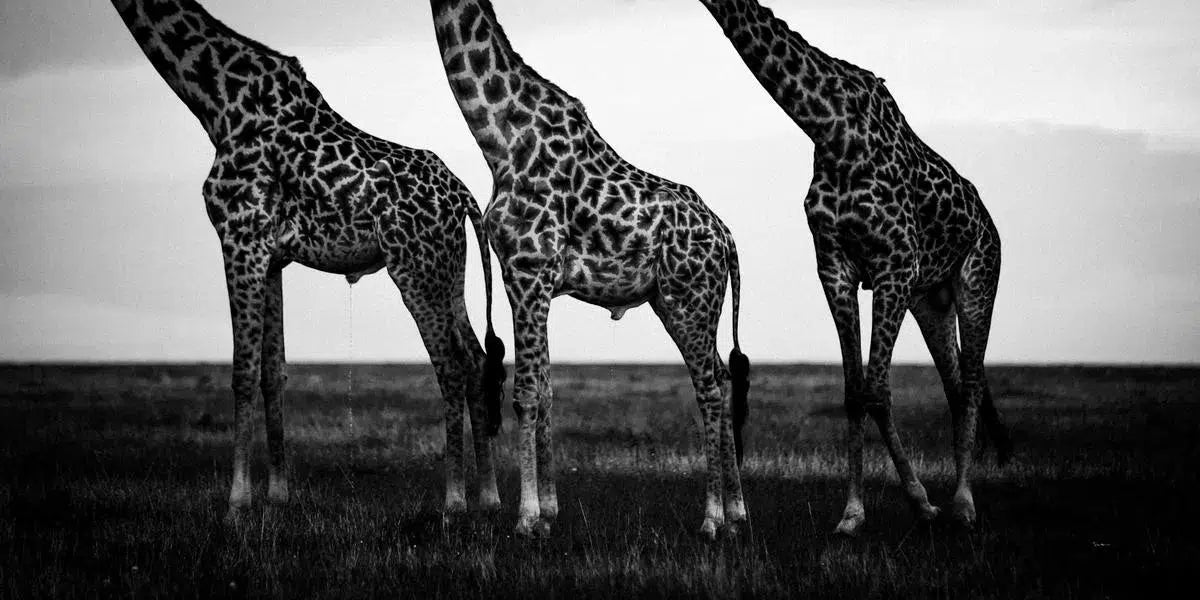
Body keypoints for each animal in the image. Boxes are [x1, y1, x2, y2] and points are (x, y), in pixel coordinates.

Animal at [109, 0, 508, 523]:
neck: (215, 100)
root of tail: (463, 195)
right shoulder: (273, 257)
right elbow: (273, 372)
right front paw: (277, 495)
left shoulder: (239, 236)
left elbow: (242, 372)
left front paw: (235, 503)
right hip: (448, 269)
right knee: (477, 357)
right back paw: (490, 497)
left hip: (415, 269)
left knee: (453, 365)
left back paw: (454, 502)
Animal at [430, 0, 752, 539]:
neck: (499, 137)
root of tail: (727, 240)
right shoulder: (528, 278)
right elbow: (546, 388)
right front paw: (549, 514)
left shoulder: (528, 267)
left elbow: (526, 392)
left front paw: (525, 519)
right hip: (685, 301)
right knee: (723, 380)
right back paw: (736, 514)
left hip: (689, 298)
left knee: (709, 389)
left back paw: (711, 520)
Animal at [697, 0, 1012, 534]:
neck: (829, 124)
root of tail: (988, 220)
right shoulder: (835, 267)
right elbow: (853, 391)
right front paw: (853, 514)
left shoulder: (894, 267)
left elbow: (878, 390)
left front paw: (921, 503)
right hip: (932, 302)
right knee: (954, 387)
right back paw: (956, 496)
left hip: (977, 280)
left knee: (970, 384)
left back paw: (964, 504)